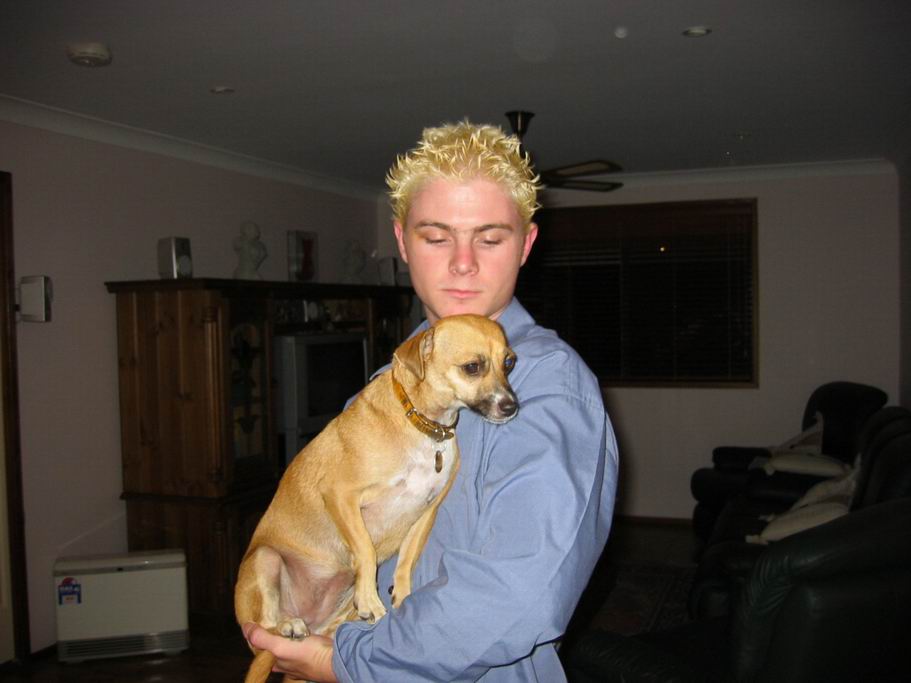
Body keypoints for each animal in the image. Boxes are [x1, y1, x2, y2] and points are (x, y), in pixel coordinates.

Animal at [235, 314, 519, 683]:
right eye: (473, 367)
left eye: (509, 362)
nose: (512, 407)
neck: (421, 425)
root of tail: (308, 621)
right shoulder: (341, 496)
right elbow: (366, 553)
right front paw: (371, 599)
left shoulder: (425, 514)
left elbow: (405, 563)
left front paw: (401, 598)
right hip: (266, 560)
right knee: (264, 629)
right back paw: (288, 626)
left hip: (331, 613)